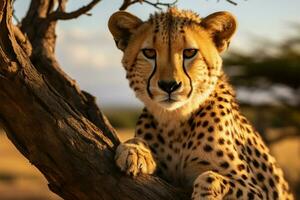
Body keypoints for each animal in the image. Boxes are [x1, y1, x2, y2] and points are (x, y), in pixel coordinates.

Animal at [107, 7, 292, 200]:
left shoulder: (258, 190)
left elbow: (209, 177)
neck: (174, 121)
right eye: (149, 53)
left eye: (189, 52)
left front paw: (205, 193)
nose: (169, 85)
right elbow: (136, 139)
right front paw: (133, 151)